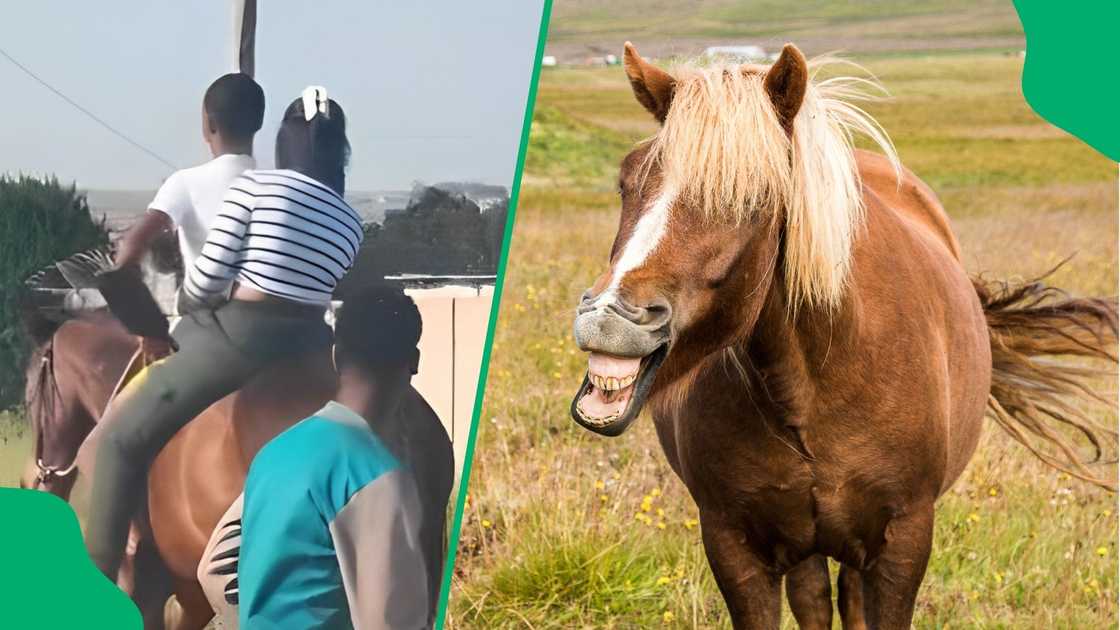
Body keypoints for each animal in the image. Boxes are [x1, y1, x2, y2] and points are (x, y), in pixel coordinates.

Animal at [573, 41, 1115, 623]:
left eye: (753, 199)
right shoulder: (732, 544)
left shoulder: (903, 543)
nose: (609, 318)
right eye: (627, 181)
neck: (814, 383)